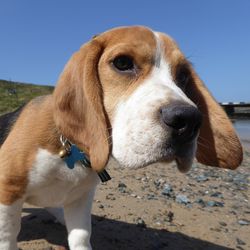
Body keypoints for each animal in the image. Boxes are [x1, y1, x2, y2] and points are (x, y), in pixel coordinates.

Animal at [0, 26, 242, 249]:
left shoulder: (81, 199)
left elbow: (81, 235)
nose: (189, 120)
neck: (71, 148)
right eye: (123, 63)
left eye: (183, 75)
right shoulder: (8, 190)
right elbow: (8, 236)